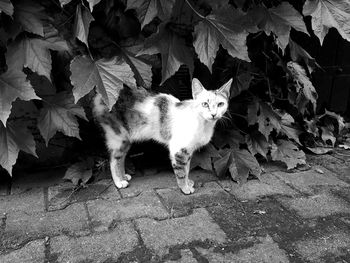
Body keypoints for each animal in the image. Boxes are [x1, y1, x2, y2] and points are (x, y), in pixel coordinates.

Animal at [92, 77, 232, 195]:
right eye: (205, 104)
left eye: (220, 104)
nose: (213, 114)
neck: (203, 123)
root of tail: (99, 97)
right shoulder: (178, 150)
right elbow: (181, 171)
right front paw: (185, 188)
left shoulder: (188, 151)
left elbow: (187, 169)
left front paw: (188, 182)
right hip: (118, 137)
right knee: (113, 159)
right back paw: (119, 181)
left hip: (126, 139)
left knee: (121, 158)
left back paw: (123, 176)